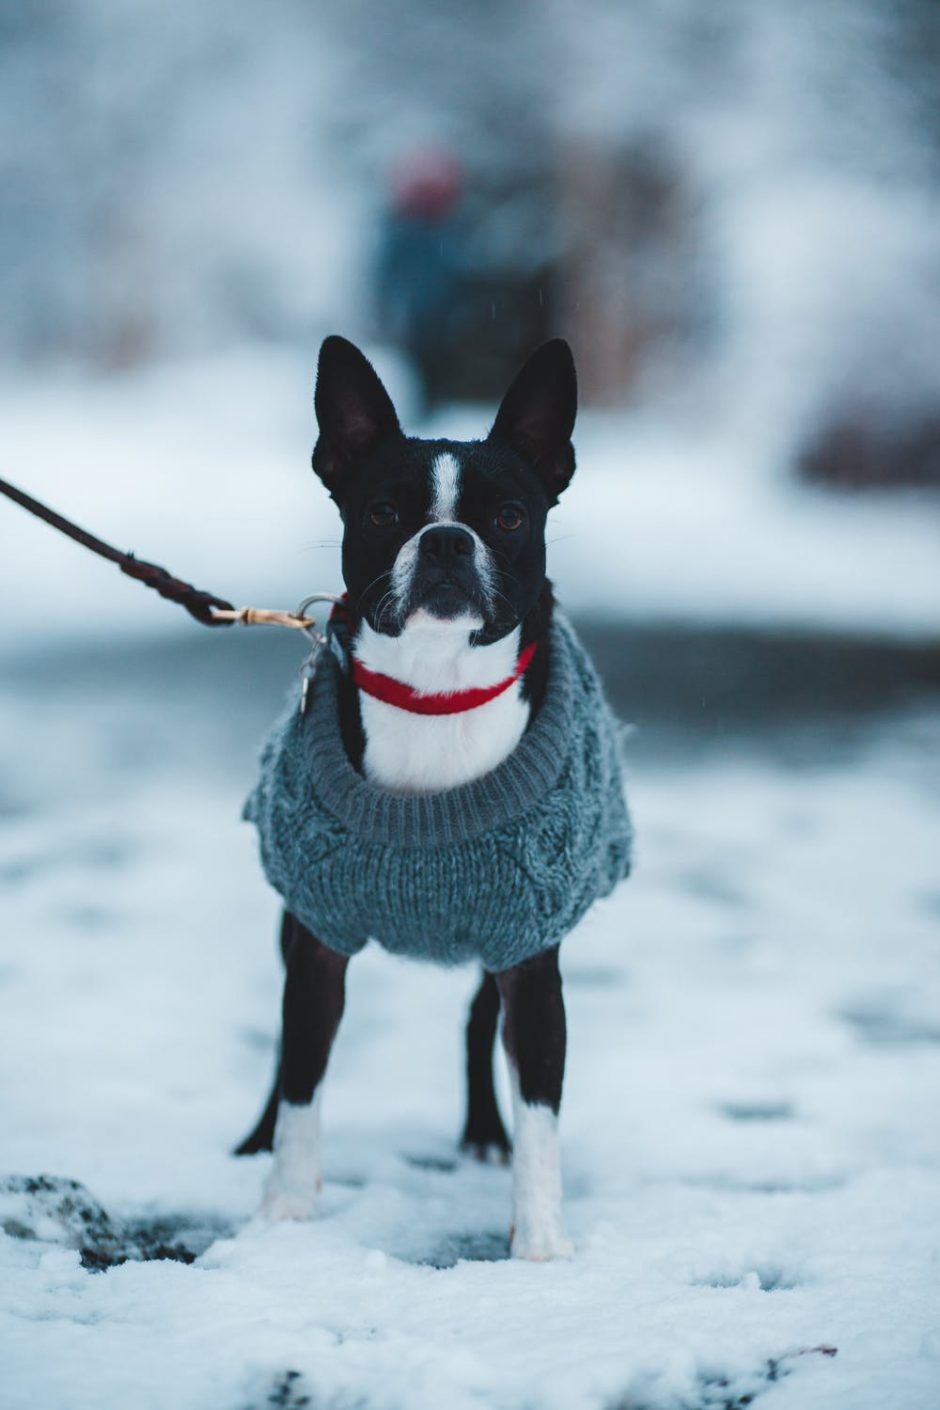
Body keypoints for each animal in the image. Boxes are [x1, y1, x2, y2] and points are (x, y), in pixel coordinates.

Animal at [236, 335, 580, 1263]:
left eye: (510, 518)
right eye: (385, 512)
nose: (448, 541)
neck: (435, 695)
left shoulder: (530, 952)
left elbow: (541, 1113)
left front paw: (540, 1247)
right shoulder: (317, 940)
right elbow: (303, 1082)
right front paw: (284, 1213)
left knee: (476, 1023)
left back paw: (484, 1135)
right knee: (286, 1059)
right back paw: (253, 1137)